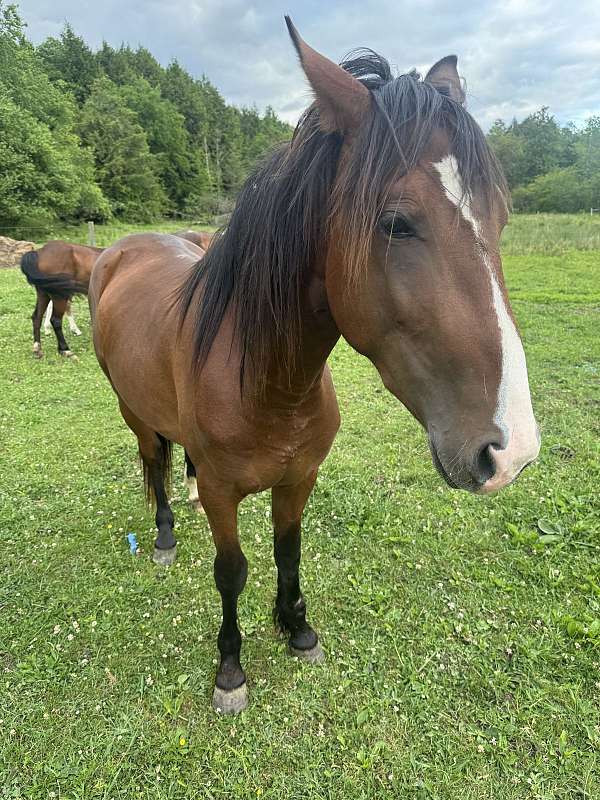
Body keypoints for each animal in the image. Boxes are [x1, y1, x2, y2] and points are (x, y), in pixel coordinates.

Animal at [88, 18, 540, 714]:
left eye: (501, 218)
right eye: (396, 223)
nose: (511, 450)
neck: (267, 381)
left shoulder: (299, 478)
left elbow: (288, 551)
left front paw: (297, 628)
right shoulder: (224, 495)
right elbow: (232, 571)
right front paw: (231, 670)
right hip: (129, 409)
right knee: (153, 461)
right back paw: (164, 533)